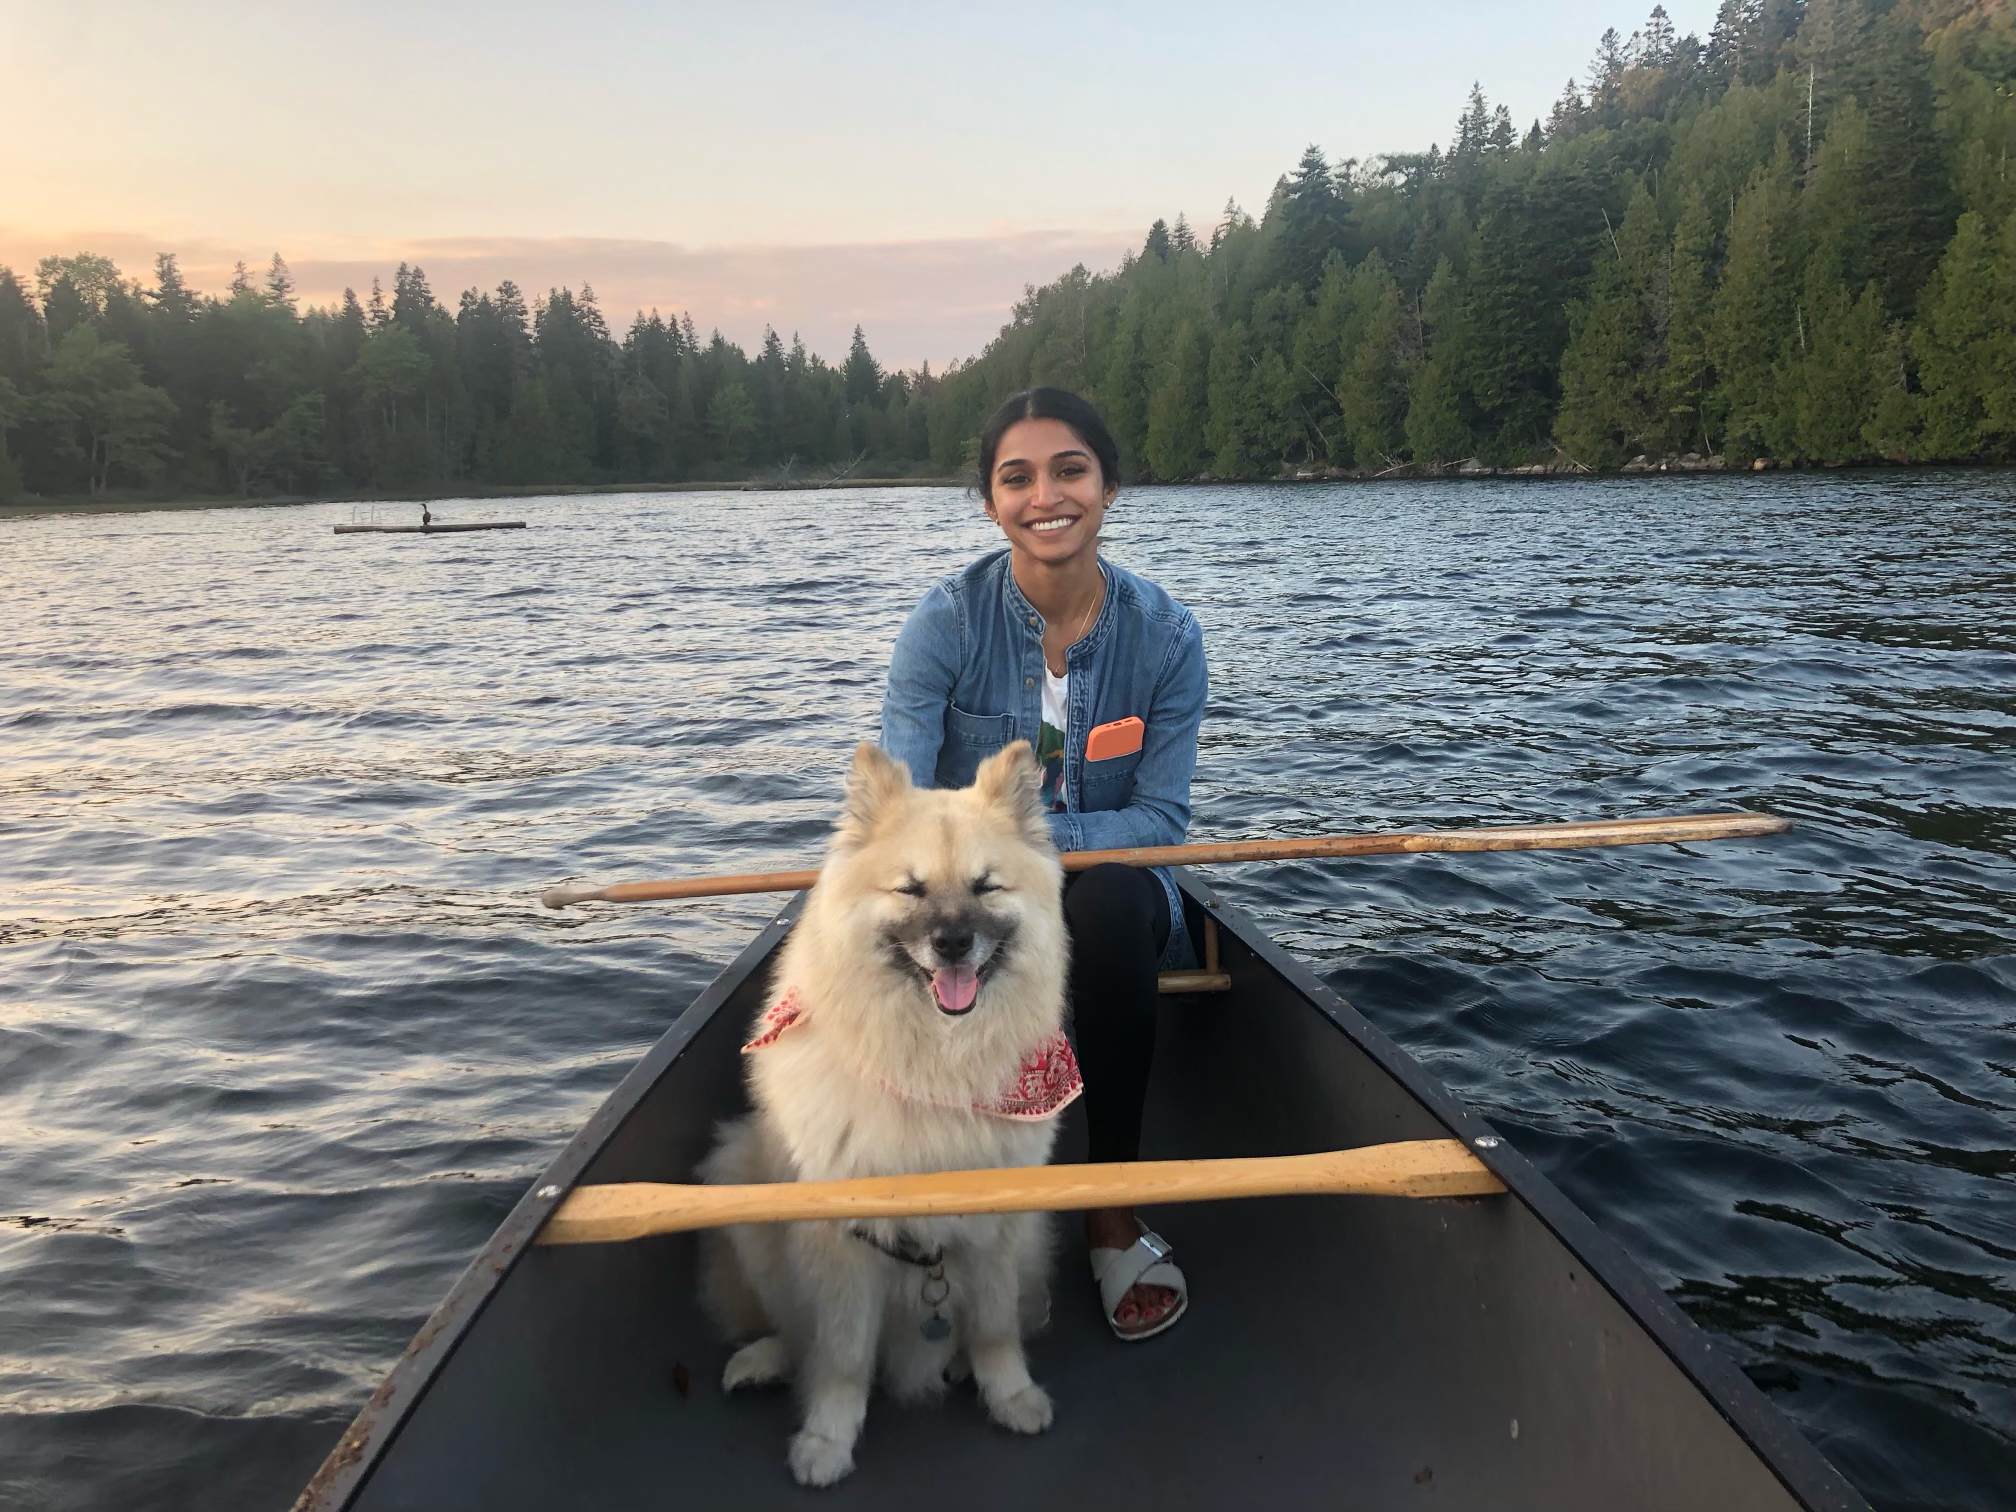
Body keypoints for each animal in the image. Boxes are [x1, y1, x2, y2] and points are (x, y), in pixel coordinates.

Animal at [697, 745, 1080, 1491]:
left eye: (986, 888)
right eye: (911, 890)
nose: (954, 943)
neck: (934, 1068)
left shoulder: (997, 1228)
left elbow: (995, 1327)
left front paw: (1010, 1394)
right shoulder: (843, 1246)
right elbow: (842, 1357)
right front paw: (827, 1439)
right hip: (742, 1186)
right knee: (796, 1332)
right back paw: (769, 1359)